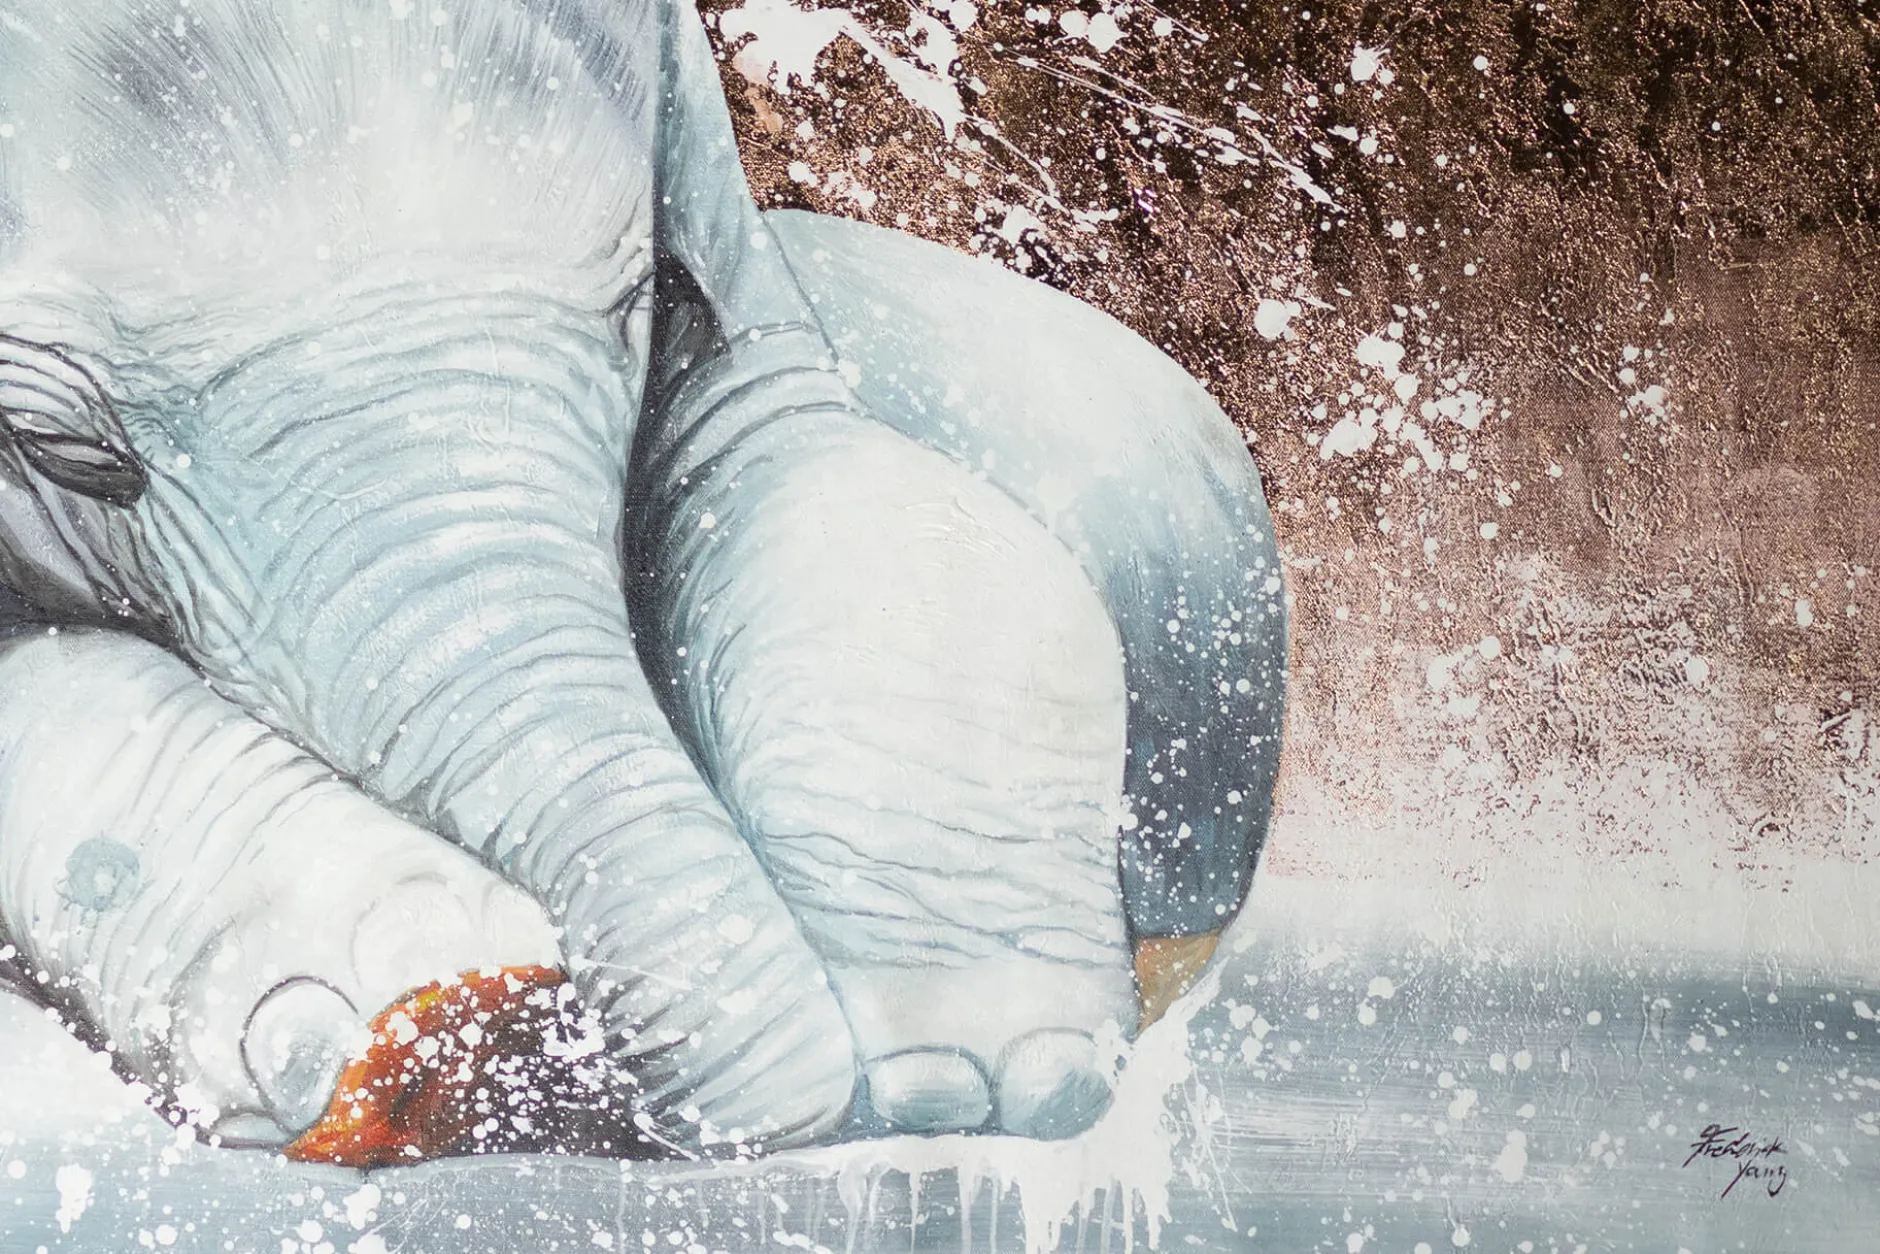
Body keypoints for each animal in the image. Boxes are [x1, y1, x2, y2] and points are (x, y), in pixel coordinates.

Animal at [0, 0, 1285, 1159]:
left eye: (646, 305)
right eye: (62, 449)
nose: (526, 1034)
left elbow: (812, 473)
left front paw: (982, 1074)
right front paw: (386, 1006)